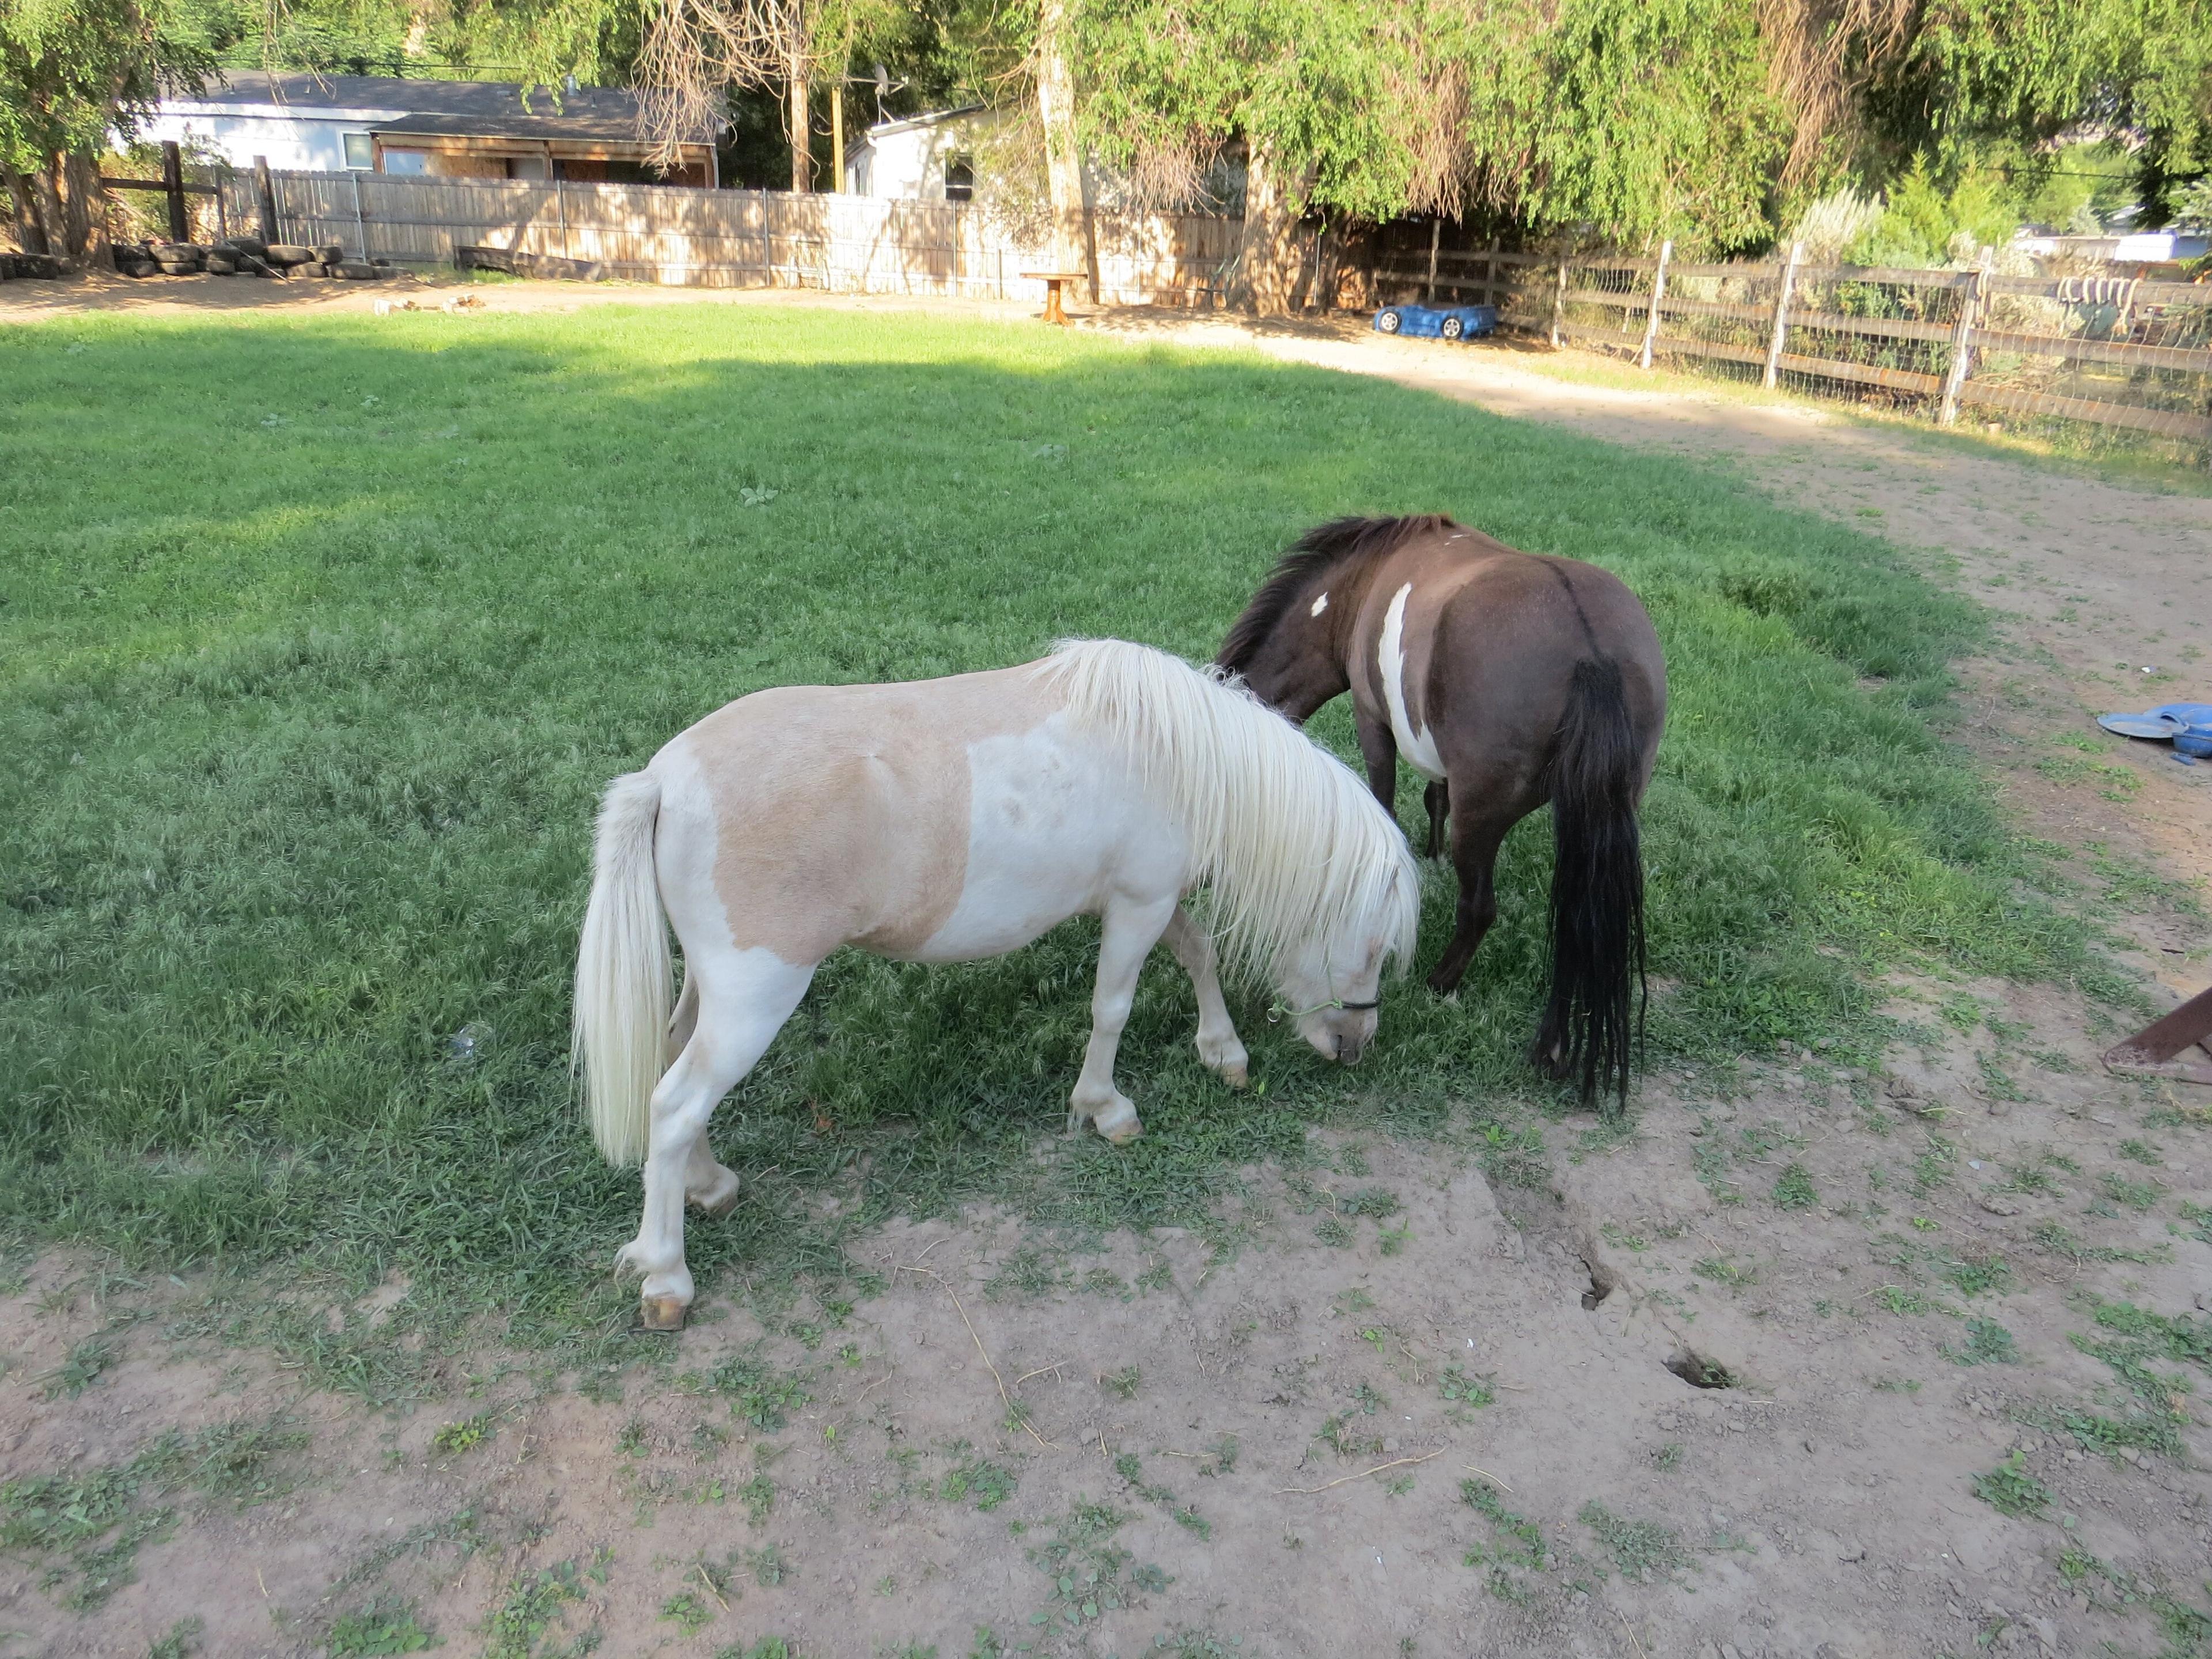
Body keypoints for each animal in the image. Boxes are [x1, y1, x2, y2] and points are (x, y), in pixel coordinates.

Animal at [575, 641, 1415, 1336]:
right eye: (1373, 944)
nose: (1356, 1044)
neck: (1177, 754)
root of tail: (664, 780)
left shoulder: (1149, 897)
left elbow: (1200, 955)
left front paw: (1223, 1052)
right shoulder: (1138, 903)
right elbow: (1113, 1009)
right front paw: (1106, 1109)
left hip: (713, 992)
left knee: (674, 1062)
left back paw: (709, 1186)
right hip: (755, 999)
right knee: (675, 1106)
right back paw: (667, 1278)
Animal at [1221, 520, 1663, 1119]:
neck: (1359, 585)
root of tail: (1593, 650)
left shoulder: (1374, 721)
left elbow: (1384, 799)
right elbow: (1436, 795)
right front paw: (1427, 856)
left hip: (1482, 819)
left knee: (1479, 909)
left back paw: (1440, 985)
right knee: (1579, 926)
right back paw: (1553, 1046)